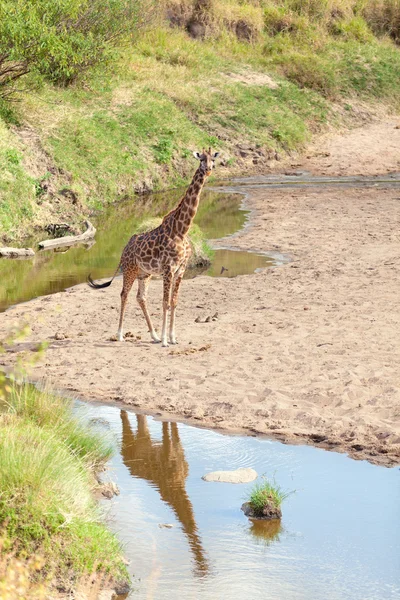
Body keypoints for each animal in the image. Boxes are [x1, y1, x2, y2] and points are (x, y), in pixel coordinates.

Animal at [88, 146, 219, 346]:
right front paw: (166, 340)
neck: (181, 230)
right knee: (124, 294)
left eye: (213, 159)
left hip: (145, 273)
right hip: (130, 269)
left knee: (141, 297)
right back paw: (120, 335)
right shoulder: (168, 269)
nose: (209, 169)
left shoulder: (180, 270)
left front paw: (172, 337)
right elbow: (165, 302)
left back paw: (154, 335)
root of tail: (124, 248)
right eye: (201, 159)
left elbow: (174, 301)